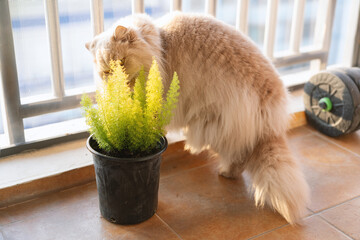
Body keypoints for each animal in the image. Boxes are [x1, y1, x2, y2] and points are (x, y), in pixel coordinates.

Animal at [86, 12, 310, 224]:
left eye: (121, 63)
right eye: (106, 71)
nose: (116, 82)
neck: (160, 44)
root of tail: (272, 116)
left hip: (214, 125)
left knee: (240, 156)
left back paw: (226, 172)